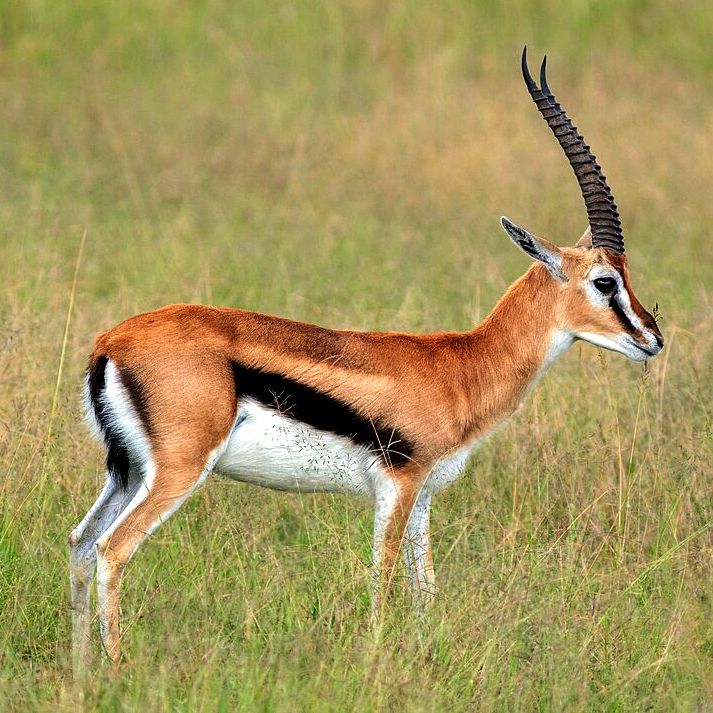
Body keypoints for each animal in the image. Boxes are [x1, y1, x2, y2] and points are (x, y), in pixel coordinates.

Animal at [69, 48, 663, 670]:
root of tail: (110, 344)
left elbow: (426, 588)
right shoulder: (397, 485)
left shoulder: (425, 494)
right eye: (604, 281)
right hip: (177, 470)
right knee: (111, 549)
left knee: (81, 544)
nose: (652, 337)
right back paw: (115, 667)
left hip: (127, 470)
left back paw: (81, 672)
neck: (462, 366)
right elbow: (384, 576)